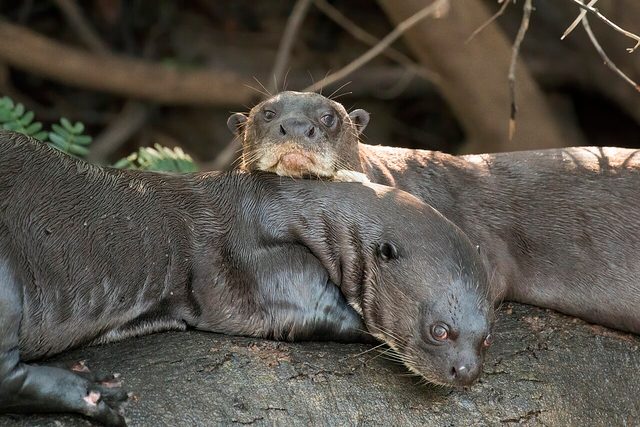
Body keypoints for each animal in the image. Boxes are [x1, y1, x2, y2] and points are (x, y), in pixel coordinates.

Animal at [0, 131, 492, 425]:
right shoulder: (249, 261)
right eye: (440, 330)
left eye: (486, 337)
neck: (285, 207)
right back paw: (92, 395)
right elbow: (306, 310)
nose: (466, 372)